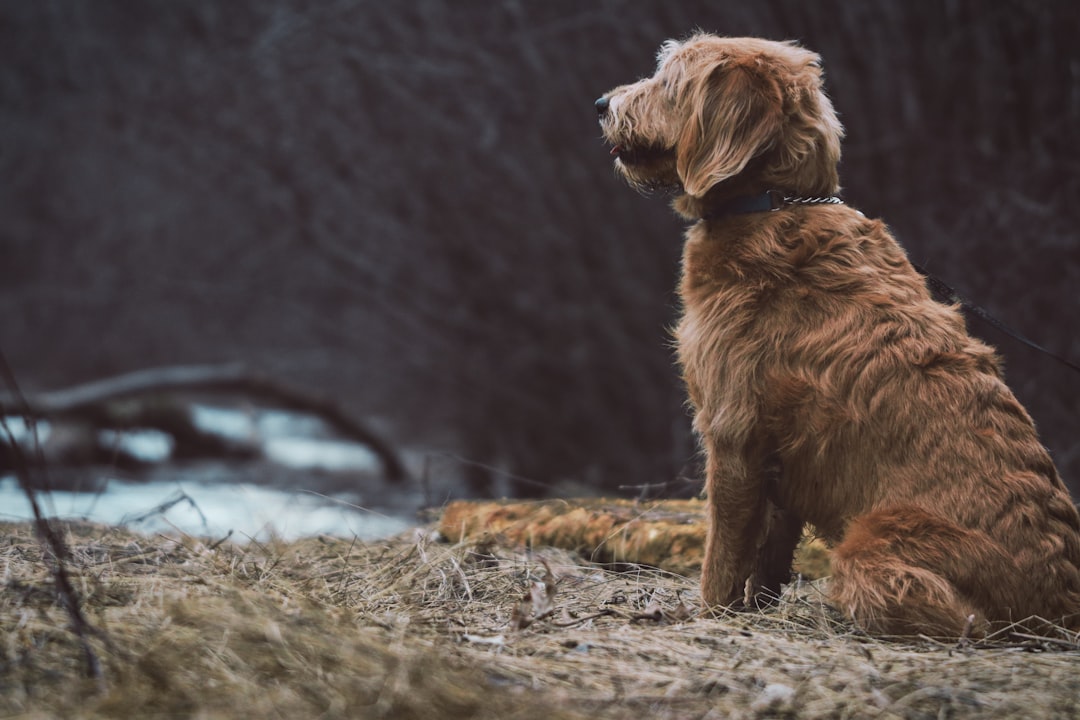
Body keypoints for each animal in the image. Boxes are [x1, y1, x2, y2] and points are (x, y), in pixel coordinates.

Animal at [600, 33, 1080, 634]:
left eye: (667, 80)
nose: (602, 103)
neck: (775, 202)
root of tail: (1062, 599)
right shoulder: (778, 460)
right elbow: (769, 555)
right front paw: (758, 611)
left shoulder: (733, 434)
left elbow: (724, 556)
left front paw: (709, 618)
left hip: (869, 550)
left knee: (966, 621)